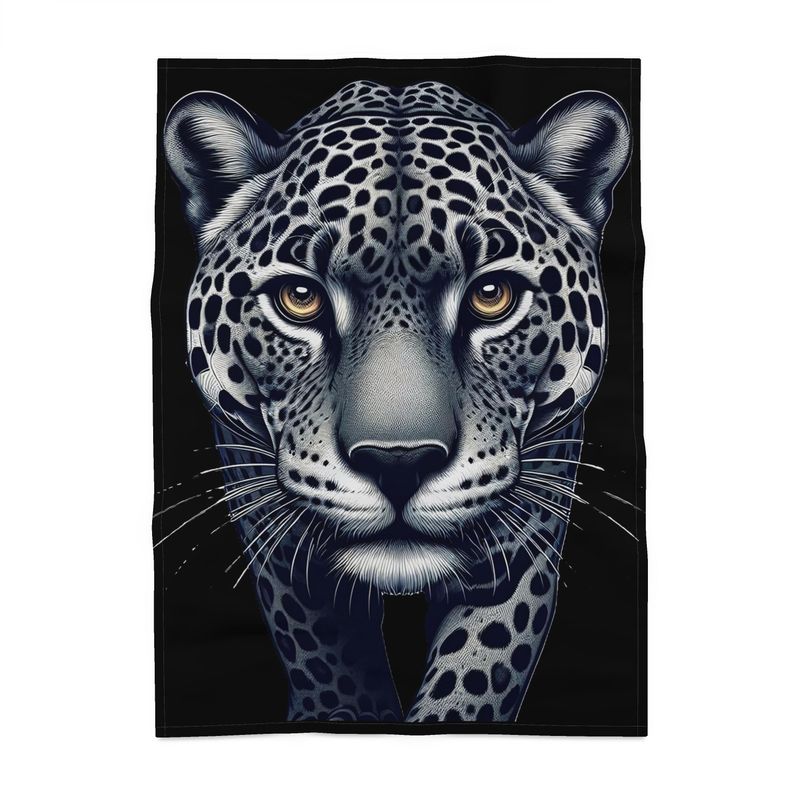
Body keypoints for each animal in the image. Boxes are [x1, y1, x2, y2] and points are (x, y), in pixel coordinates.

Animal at [162, 79, 631, 723]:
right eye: (299, 297)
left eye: (492, 294)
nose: (398, 463)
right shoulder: (269, 519)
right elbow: (326, 660)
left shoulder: (525, 528)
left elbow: (475, 673)